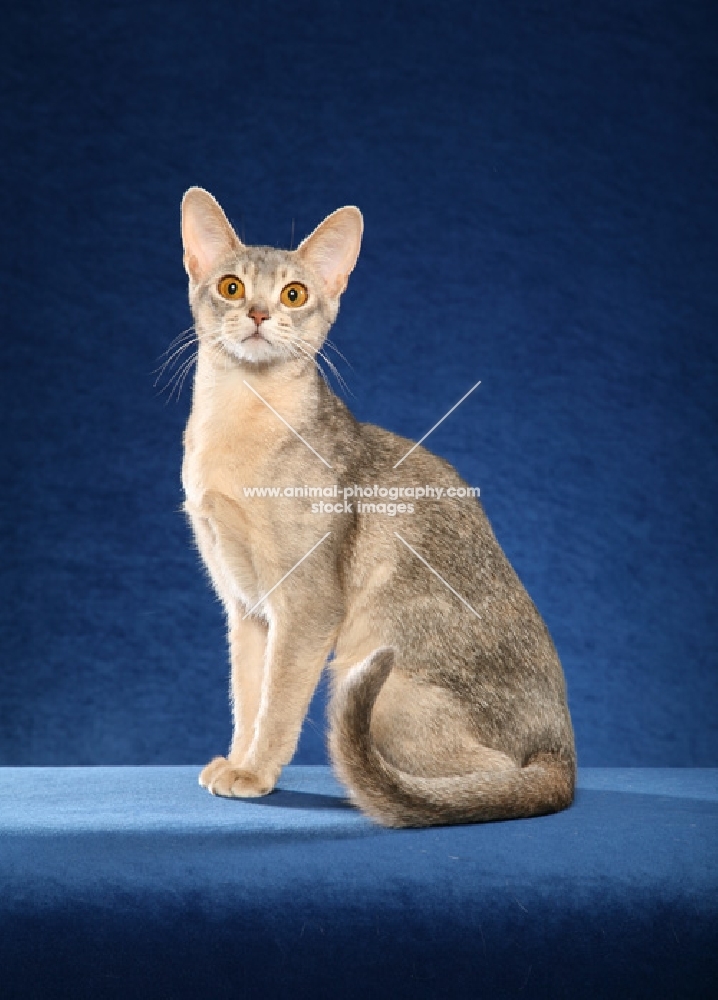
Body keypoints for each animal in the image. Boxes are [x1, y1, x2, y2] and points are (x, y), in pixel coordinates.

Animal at [181, 188, 580, 828]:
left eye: (294, 294)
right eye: (231, 287)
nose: (260, 314)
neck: (237, 424)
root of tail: (563, 756)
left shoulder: (306, 605)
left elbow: (278, 701)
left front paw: (256, 772)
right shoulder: (246, 608)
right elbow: (248, 697)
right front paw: (239, 761)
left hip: (379, 685)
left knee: (492, 780)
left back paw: (383, 786)